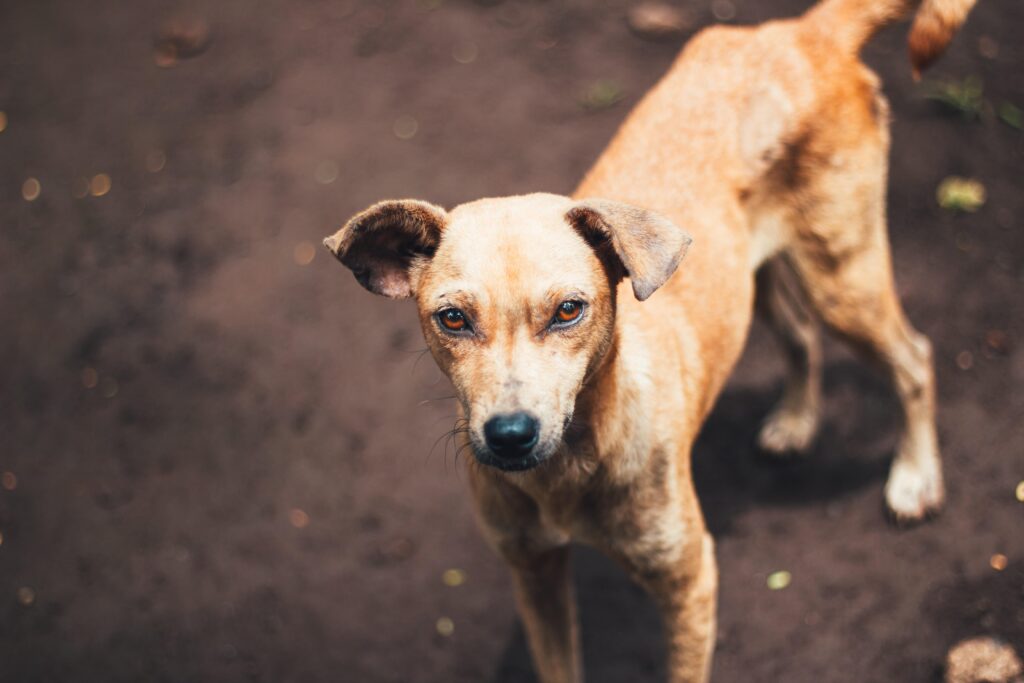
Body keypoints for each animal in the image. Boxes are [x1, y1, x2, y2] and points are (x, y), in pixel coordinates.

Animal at [325, 0, 974, 679]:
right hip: (754, 278)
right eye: (452, 318)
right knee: (802, 336)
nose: (509, 435)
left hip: (842, 276)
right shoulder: (534, 574)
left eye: (569, 310)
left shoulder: (689, 580)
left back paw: (914, 479)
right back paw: (797, 421)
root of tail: (803, 31)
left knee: (915, 357)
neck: (574, 465)